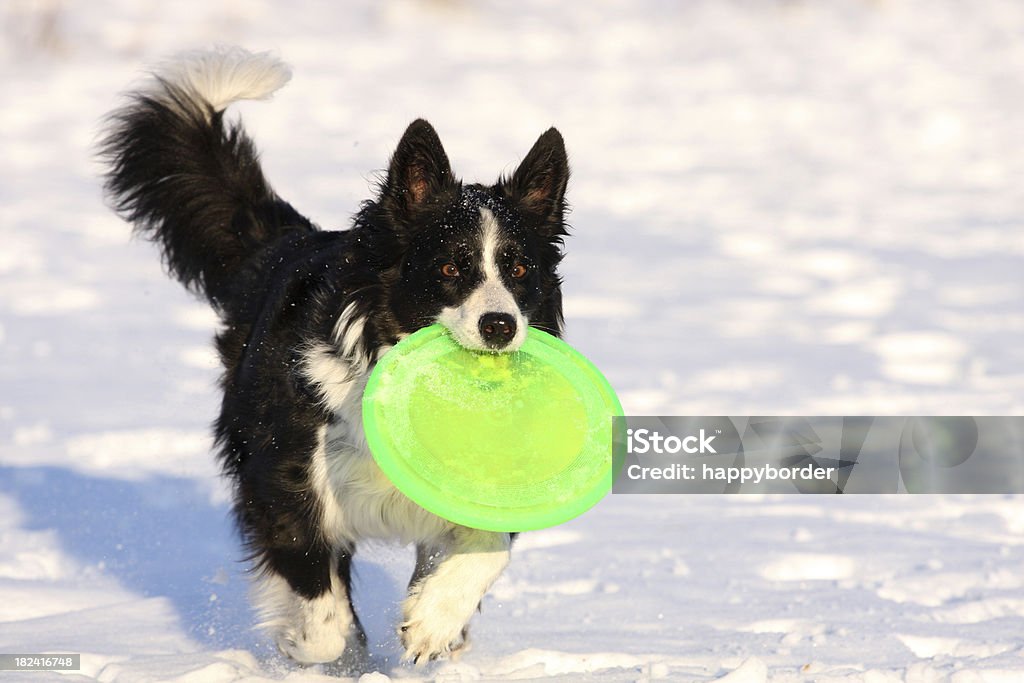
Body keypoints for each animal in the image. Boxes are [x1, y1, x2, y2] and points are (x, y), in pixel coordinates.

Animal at [99, 48, 573, 667]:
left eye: (519, 269)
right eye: (450, 267)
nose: (500, 326)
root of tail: (285, 241)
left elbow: (486, 547)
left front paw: (432, 624)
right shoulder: (286, 477)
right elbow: (319, 601)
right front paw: (315, 648)